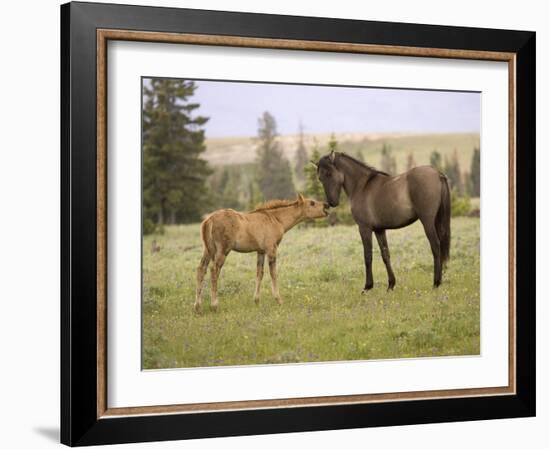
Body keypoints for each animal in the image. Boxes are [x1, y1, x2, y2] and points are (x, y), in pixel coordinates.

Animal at [314, 150, 452, 290]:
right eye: (320, 178)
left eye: (329, 173)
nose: (331, 202)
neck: (362, 186)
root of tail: (438, 174)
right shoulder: (379, 230)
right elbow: (385, 255)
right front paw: (391, 284)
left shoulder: (364, 228)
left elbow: (368, 256)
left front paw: (368, 286)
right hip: (437, 221)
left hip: (427, 222)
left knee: (436, 246)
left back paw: (436, 283)